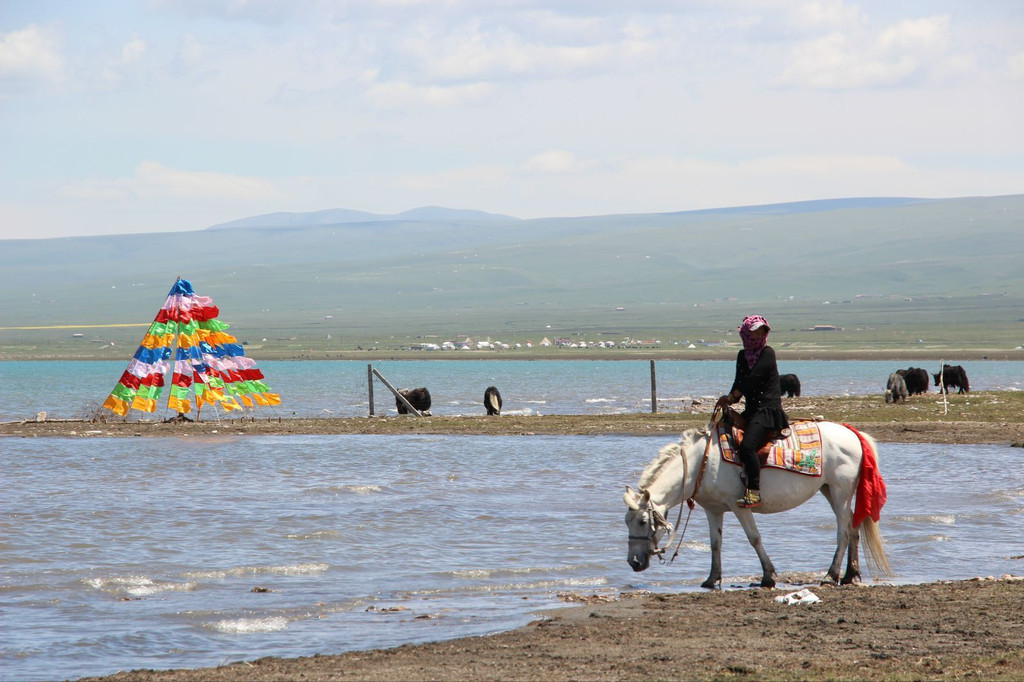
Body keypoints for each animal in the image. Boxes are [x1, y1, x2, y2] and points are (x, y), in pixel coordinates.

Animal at [622, 417, 888, 585]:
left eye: (643, 521)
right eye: (627, 521)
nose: (634, 562)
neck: (702, 463)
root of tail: (853, 433)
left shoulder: (739, 506)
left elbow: (754, 538)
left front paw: (768, 576)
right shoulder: (713, 510)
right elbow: (715, 543)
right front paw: (712, 579)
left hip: (840, 490)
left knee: (843, 530)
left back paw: (831, 576)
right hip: (829, 490)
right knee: (853, 526)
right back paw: (850, 574)